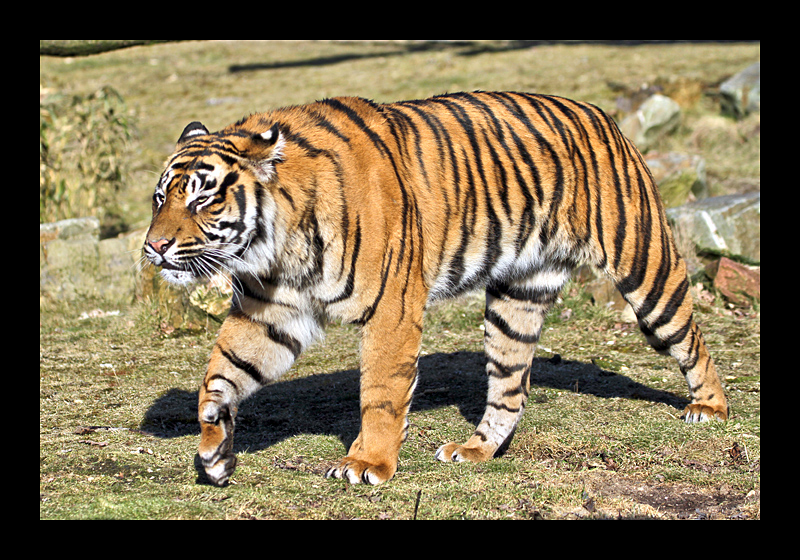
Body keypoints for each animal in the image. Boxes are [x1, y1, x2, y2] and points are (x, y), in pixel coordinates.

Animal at [145, 92, 732, 486]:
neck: (278, 244)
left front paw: (366, 464)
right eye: (160, 198)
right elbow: (220, 374)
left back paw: (710, 408)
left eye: (201, 199)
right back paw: (476, 451)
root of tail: (602, 115)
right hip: (516, 300)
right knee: (510, 388)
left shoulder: (391, 309)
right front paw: (214, 449)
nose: (154, 247)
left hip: (645, 267)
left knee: (690, 338)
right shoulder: (271, 311)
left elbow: (381, 392)